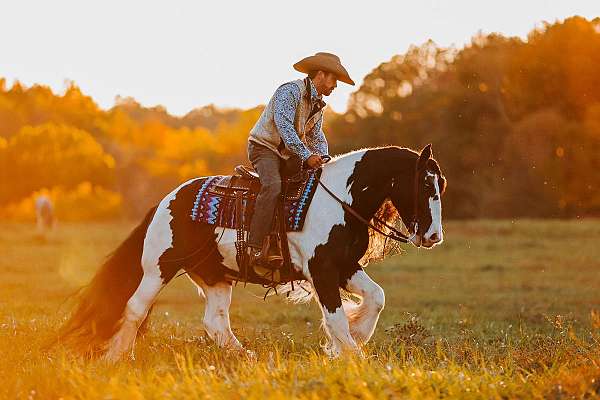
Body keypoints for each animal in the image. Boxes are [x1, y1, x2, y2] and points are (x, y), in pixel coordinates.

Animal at [57, 145, 446, 362]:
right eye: (425, 184)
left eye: (440, 184)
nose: (433, 236)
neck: (339, 200)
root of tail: (166, 200)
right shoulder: (322, 270)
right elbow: (335, 319)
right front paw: (352, 355)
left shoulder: (344, 266)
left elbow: (376, 298)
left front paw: (356, 337)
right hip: (159, 268)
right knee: (135, 308)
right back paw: (114, 358)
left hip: (215, 277)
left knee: (215, 323)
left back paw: (247, 358)